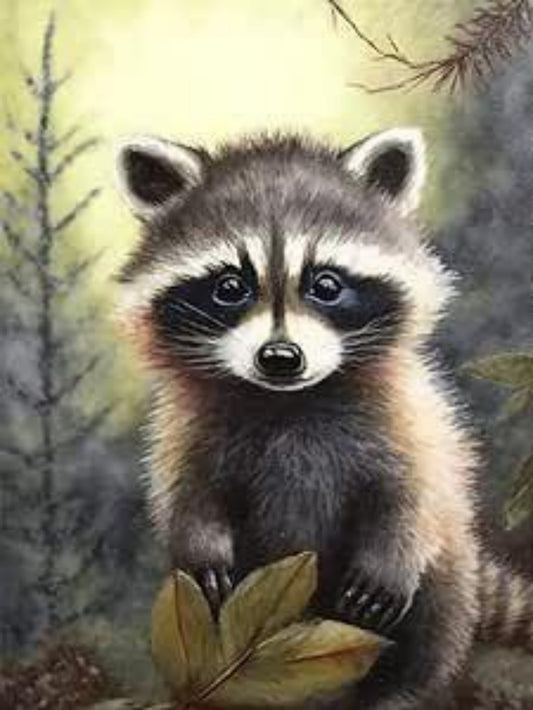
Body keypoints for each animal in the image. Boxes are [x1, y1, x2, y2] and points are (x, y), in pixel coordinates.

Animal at [114, 129, 533, 709]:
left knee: (431, 627)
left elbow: (415, 490)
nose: (280, 357)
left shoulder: (410, 416)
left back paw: (400, 691)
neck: (287, 400)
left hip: (448, 572)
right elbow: (187, 492)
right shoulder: (185, 425)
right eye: (229, 287)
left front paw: (392, 557)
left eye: (327, 285)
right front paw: (202, 544)